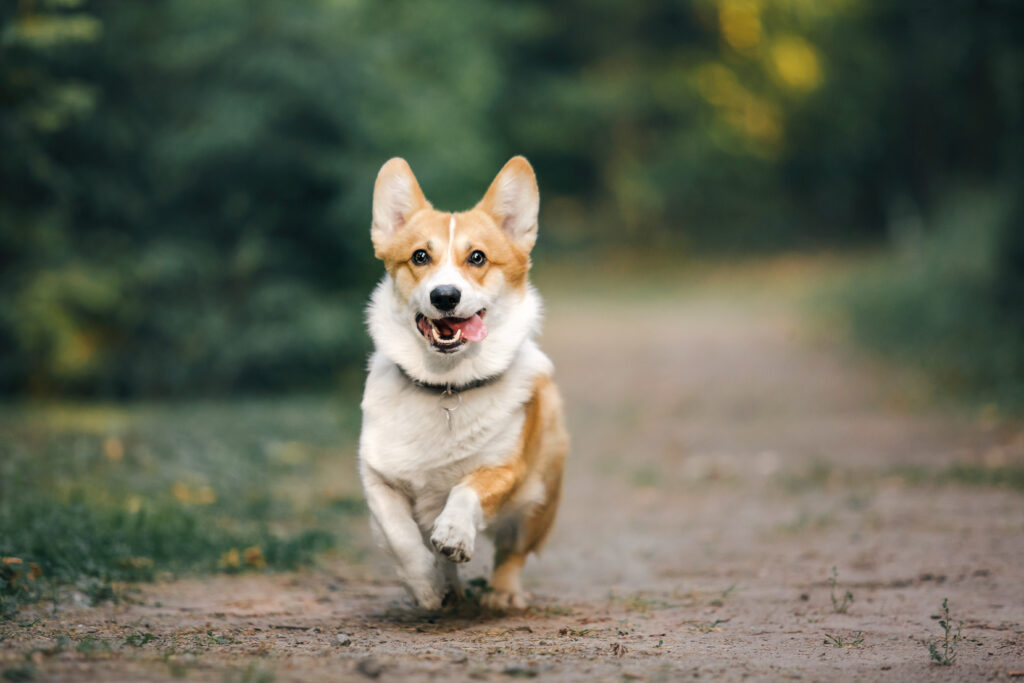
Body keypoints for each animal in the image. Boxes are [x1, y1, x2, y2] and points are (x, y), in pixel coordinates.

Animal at [358, 157, 569, 610]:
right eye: (420, 256)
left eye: (477, 257)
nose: (445, 296)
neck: (447, 385)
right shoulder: (377, 478)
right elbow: (400, 536)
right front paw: (425, 586)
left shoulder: (504, 468)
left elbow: (466, 491)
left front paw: (454, 533)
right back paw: (448, 589)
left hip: (537, 500)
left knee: (512, 552)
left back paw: (502, 594)